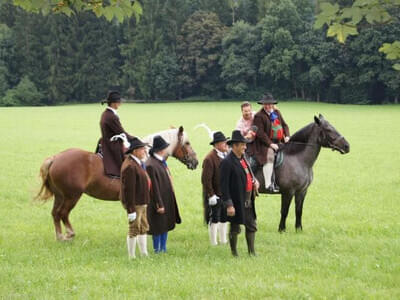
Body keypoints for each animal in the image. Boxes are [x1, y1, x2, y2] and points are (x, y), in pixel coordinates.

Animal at [35, 126, 198, 241]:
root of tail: (55, 158)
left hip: (60, 196)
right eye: (187, 143)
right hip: (72, 196)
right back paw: (69, 234)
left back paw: (59, 236)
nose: (195, 162)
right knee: (63, 213)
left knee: (55, 214)